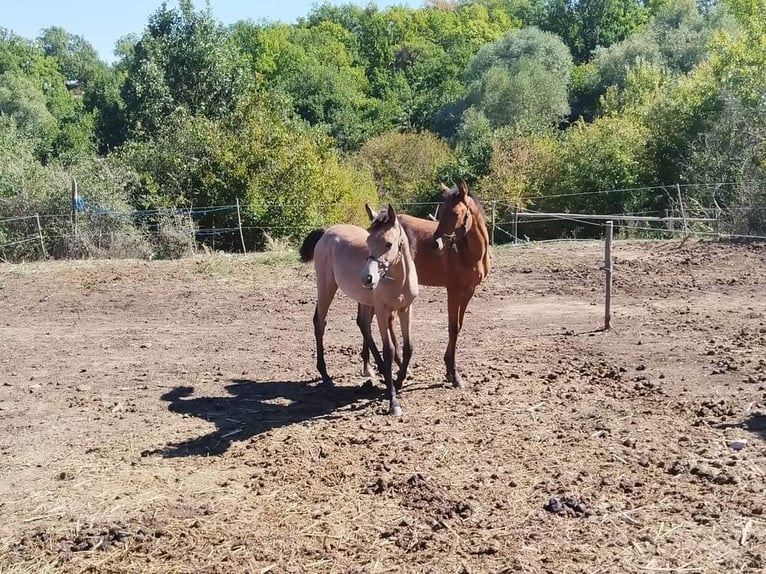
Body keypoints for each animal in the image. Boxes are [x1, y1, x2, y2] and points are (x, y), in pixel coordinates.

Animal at [300, 205, 420, 416]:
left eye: (389, 243)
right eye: (368, 241)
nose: (367, 278)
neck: (399, 280)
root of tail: (326, 232)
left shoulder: (406, 309)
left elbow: (408, 347)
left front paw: (398, 380)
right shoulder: (382, 311)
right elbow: (389, 350)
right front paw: (393, 401)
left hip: (363, 301)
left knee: (362, 324)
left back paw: (376, 369)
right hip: (326, 288)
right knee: (320, 322)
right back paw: (324, 373)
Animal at [360, 182, 492, 390]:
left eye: (455, 213)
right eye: (441, 211)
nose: (435, 244)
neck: (469, 253)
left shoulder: (469, 290)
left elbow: (459, 326)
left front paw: (449, 372)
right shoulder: (453, 290)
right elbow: (452, 328)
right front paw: (454, 374)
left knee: (371, 321)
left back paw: (373, 366)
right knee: (370, 321)